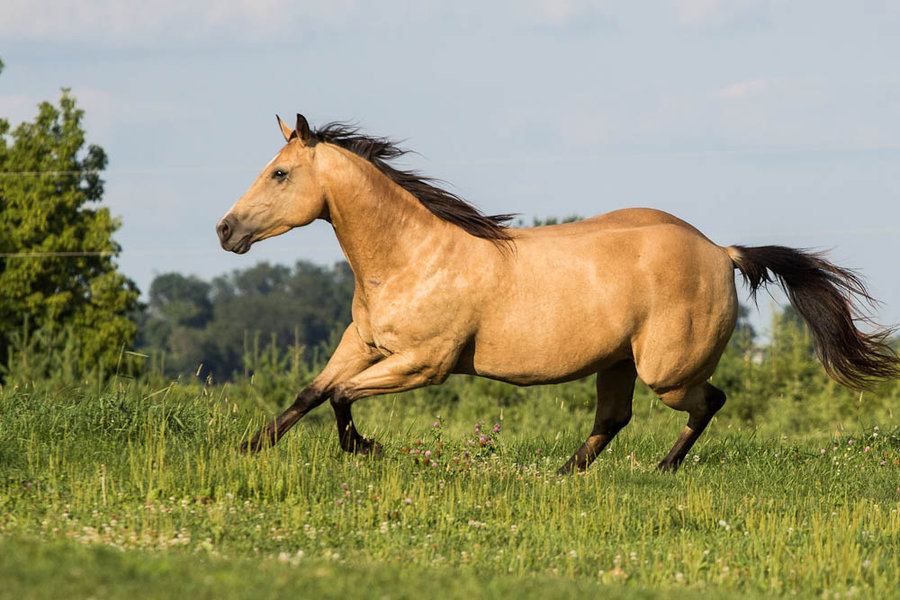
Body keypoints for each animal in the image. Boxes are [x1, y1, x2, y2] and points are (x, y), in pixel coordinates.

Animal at [218, 113, 900, 474]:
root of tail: (721, 251)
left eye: (280, 173)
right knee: (615, 417)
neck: (412, 257)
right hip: (618, 363)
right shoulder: (364, 343)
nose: (225, 230)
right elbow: (312, 391)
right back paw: (566, 472)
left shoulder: (423, 364)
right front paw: (248, 447)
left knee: (710, 401)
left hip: (666, 371)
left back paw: (662, 468)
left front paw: (366, 447)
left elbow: (340, 395)